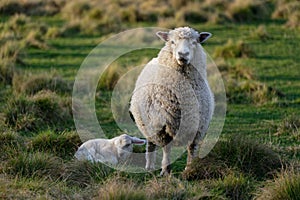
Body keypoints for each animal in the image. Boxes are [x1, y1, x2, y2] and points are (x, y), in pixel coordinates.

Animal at [130, 26, 214, 175]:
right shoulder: (163, 127)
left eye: (194, 42)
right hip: (149, 124)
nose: (183, 54)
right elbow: (166, 149)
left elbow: (192, 150)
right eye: (173, 42)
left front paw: (189, 170)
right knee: (151, 145)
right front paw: (165, 170)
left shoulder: (198, 128)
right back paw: (149, 166)